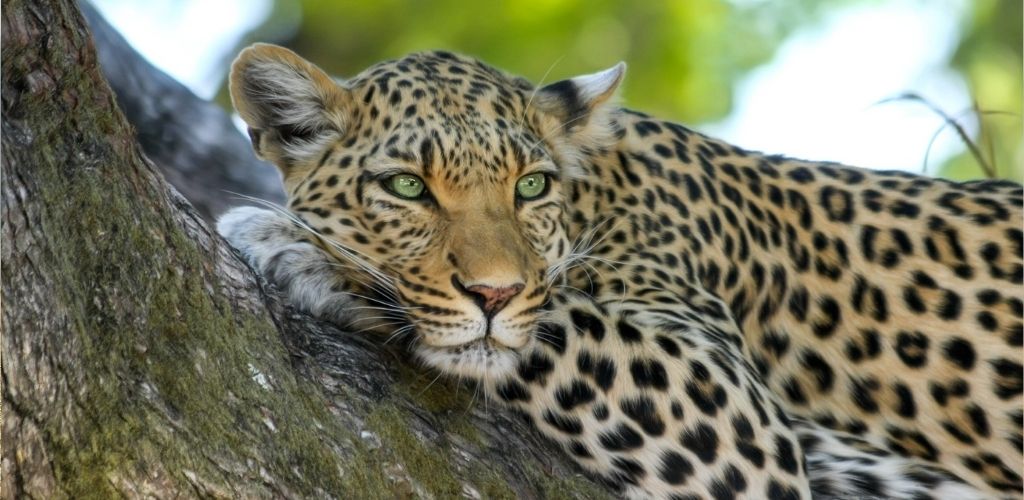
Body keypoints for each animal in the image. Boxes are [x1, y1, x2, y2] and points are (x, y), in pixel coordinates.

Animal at [218, 44, 1024, 500]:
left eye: (530, 187)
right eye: (408, 187)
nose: (493, 292)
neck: (597, 196)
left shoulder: (733, 413)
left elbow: (553, 322)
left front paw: (298, 246)